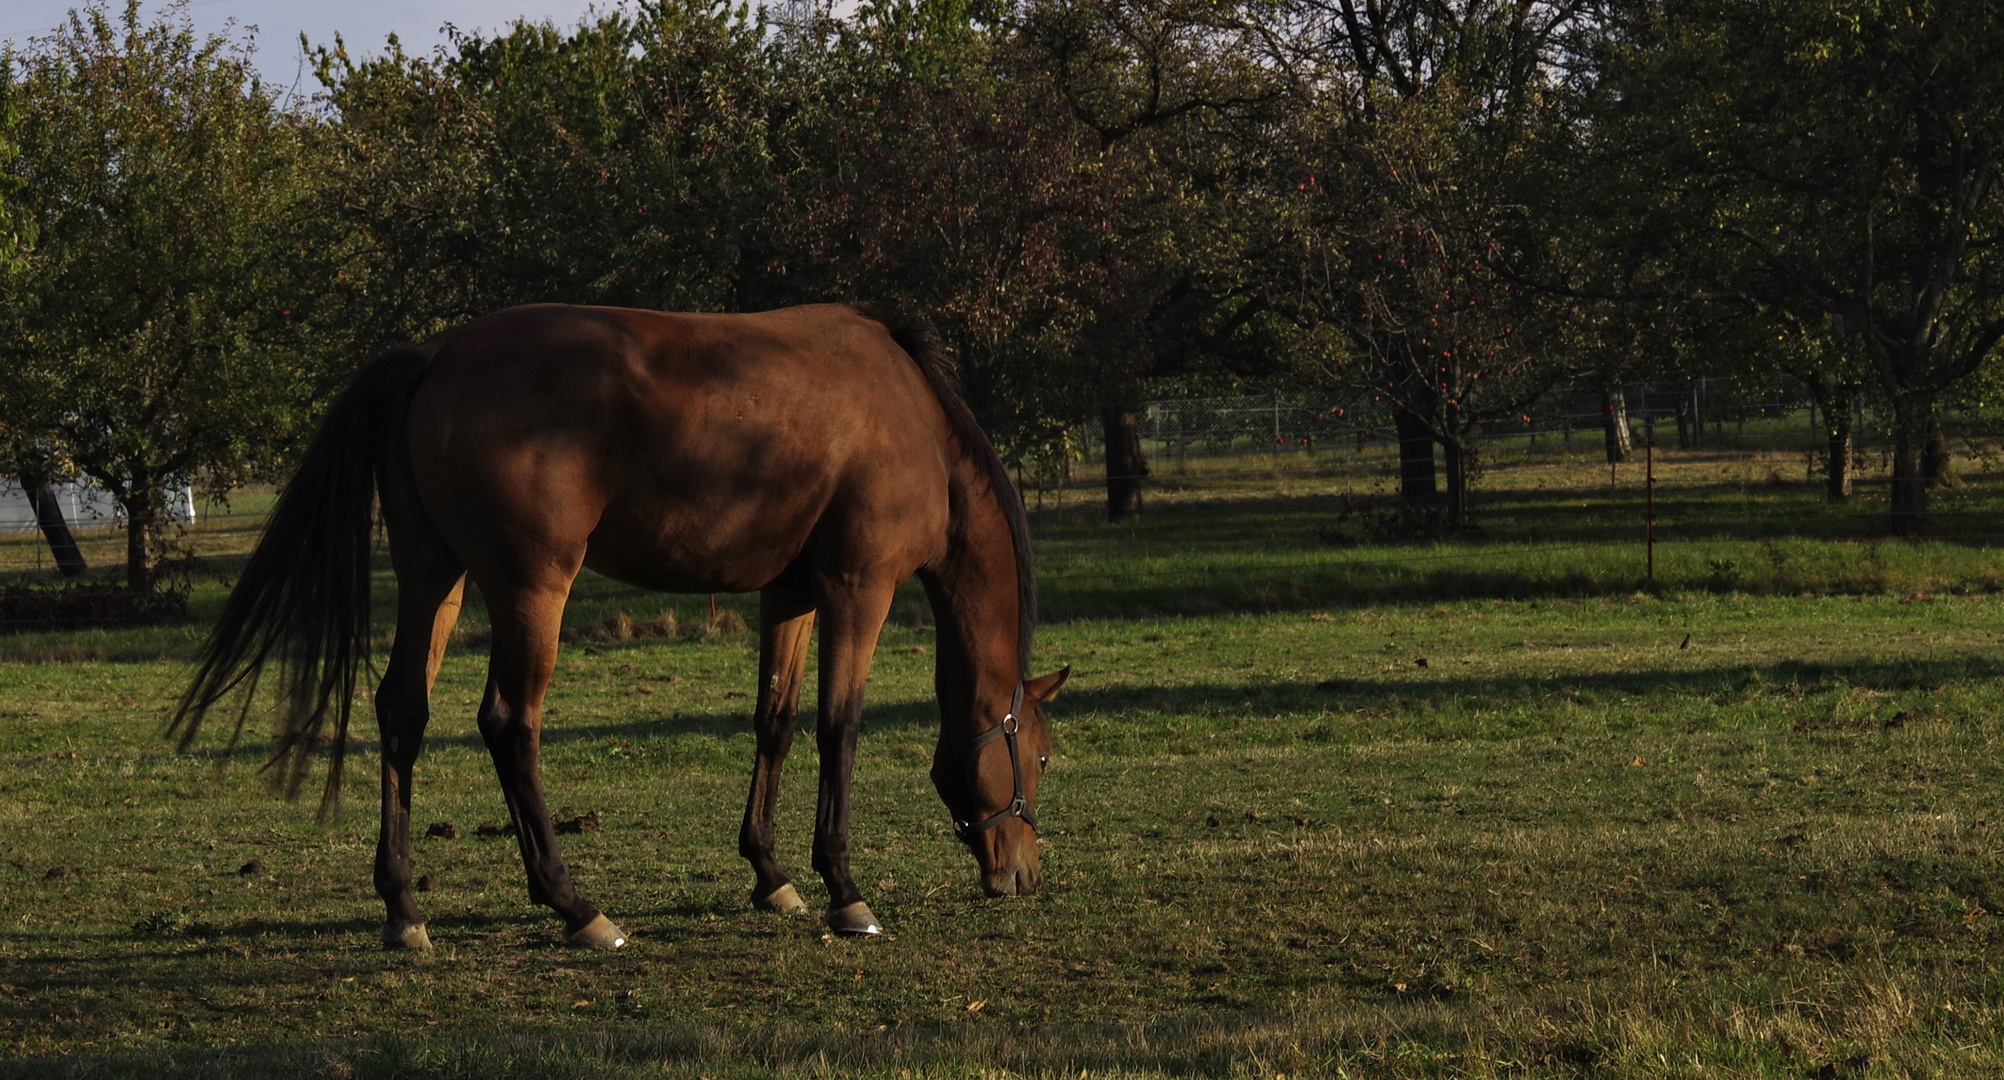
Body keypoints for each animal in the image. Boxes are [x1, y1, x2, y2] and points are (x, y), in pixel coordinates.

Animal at [176, 302, 1066, 945]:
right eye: (1041, 757)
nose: (1023, 874)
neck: (911, 417)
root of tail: (434, 357)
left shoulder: (791, 596)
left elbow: (774, 722)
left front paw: (770, 874)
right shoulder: (859, 589)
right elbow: (838, 729)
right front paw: (844, 892)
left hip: (438, 579)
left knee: (403, 713)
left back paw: (404, 909)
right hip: (533, 589)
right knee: (510, 724)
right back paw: (575, 906)